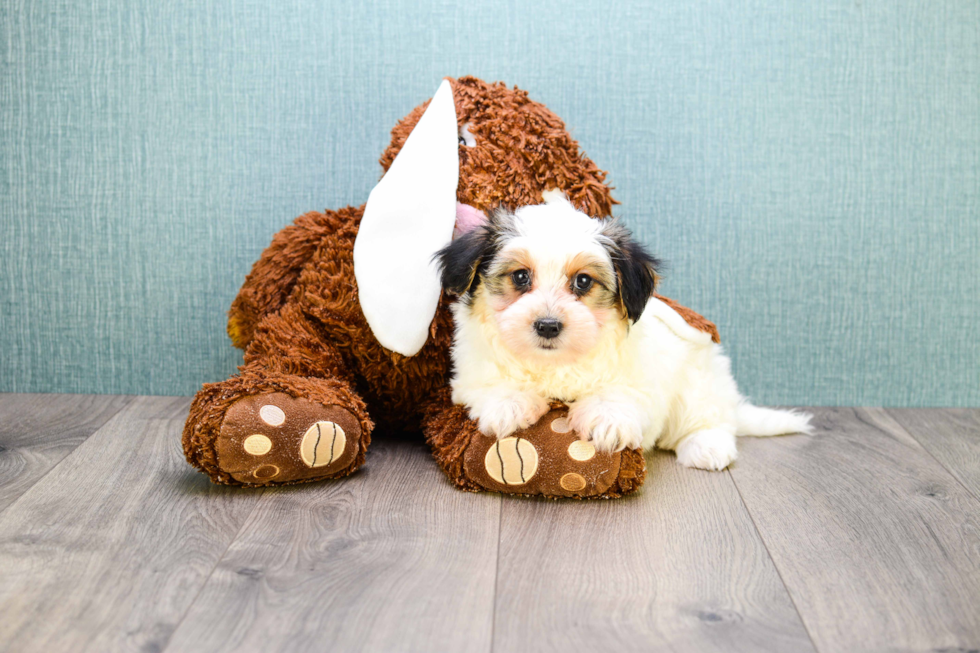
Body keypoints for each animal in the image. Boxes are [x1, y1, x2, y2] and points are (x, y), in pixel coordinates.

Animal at [436, 191, 812, 472]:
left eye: (583, 281)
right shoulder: (470, 371)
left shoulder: (641, 373)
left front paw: (606, 420)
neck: (555, 364)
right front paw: (509, 405)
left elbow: (620, 391)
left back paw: (707, 446)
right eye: (520, 277)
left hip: (699, 380)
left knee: (709, 417)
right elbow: (489, 383)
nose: (548, 325)